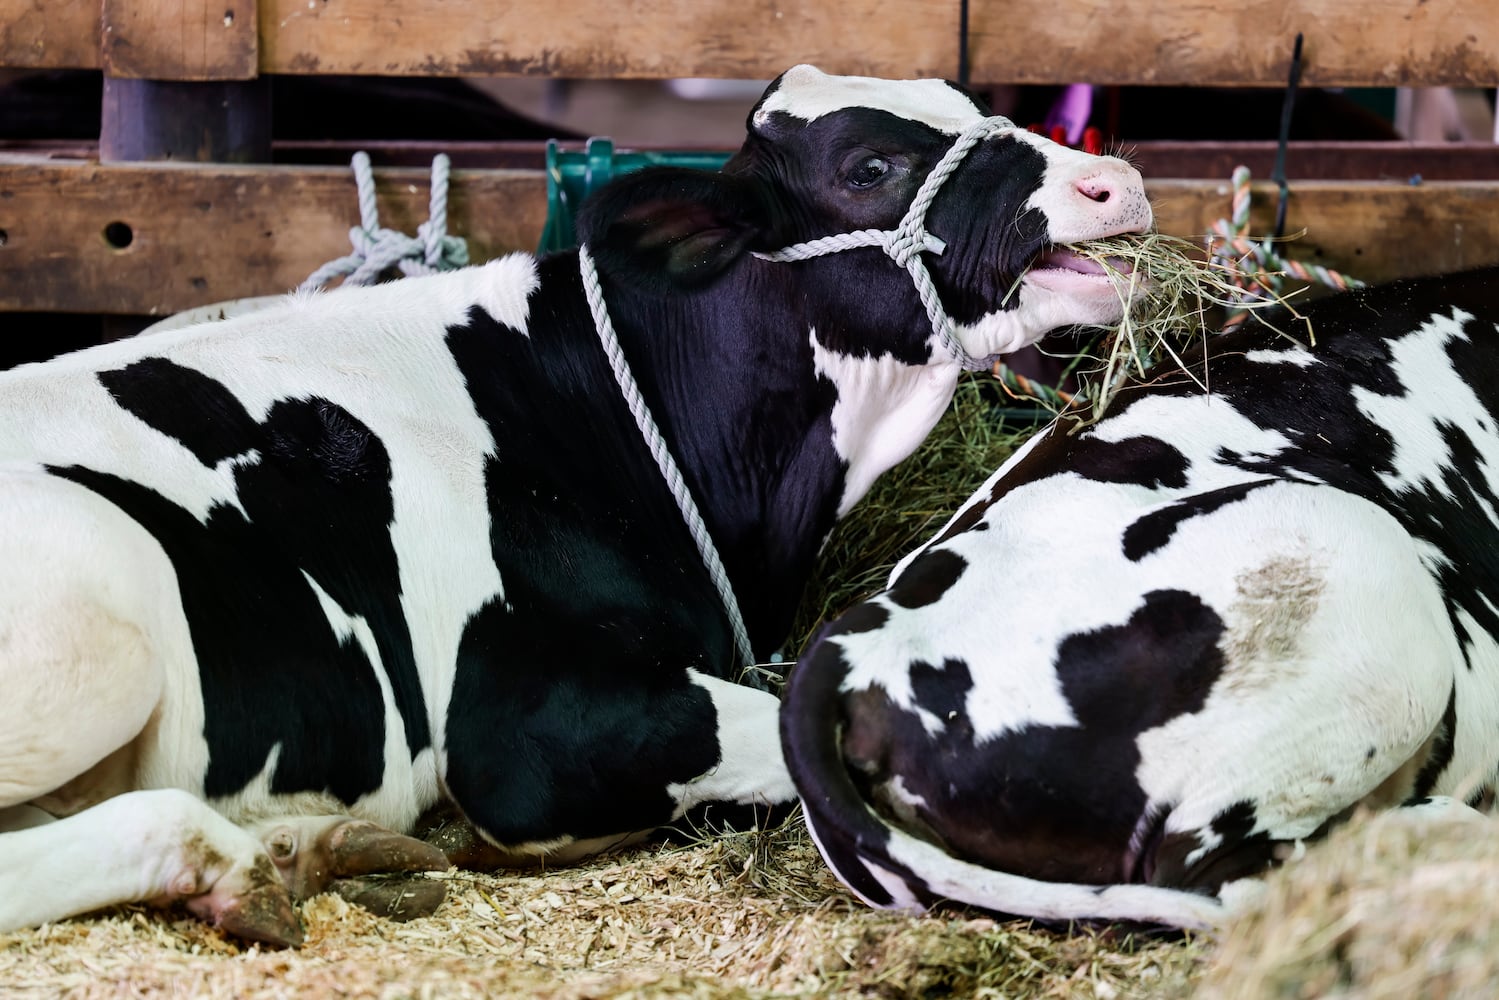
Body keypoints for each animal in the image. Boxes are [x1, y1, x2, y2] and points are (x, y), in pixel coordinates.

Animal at [0, 66, 1157, 941]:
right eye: (869, 167)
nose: (1115, 180)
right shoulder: (520, 725)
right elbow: (790, 737)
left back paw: (300, 846)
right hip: (103, 614)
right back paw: (231, 863)